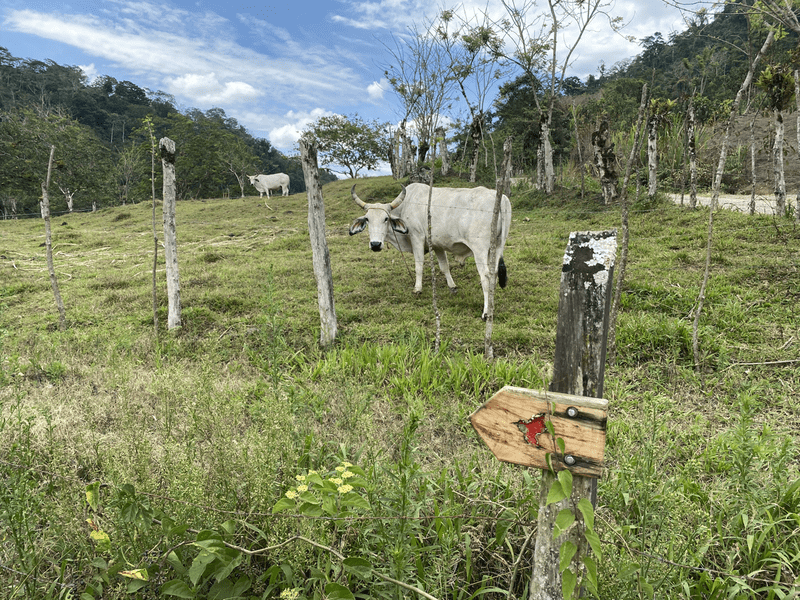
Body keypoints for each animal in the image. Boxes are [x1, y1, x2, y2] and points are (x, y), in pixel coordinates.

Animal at [349, 182, 511, 319]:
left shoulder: (417, 237)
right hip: (497, 247)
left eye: (385, 219)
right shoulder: (438, 245)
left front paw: (417, 289)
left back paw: (486, 312)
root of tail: (502, 198)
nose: (375, 244)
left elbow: (418, 266)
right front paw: (452, 287)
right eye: (367, 219)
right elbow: (444, 267)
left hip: (480, 249)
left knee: (486, 276)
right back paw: (492, 306)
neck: (406, 205)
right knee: (494, 273)